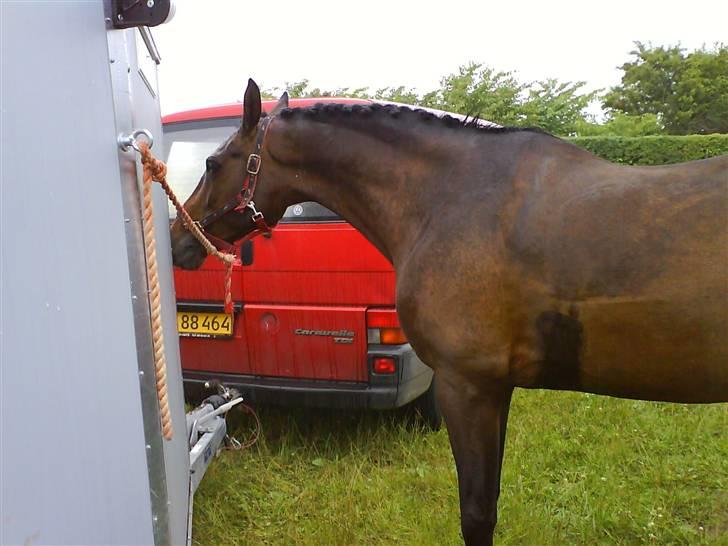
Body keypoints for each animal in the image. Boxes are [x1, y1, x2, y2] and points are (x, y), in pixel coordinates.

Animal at [171, 78, 728, 540]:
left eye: (212, 164)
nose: (178, 241)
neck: (448, 198)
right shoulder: (495, 388)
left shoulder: (466, 385)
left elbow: (477, 514)